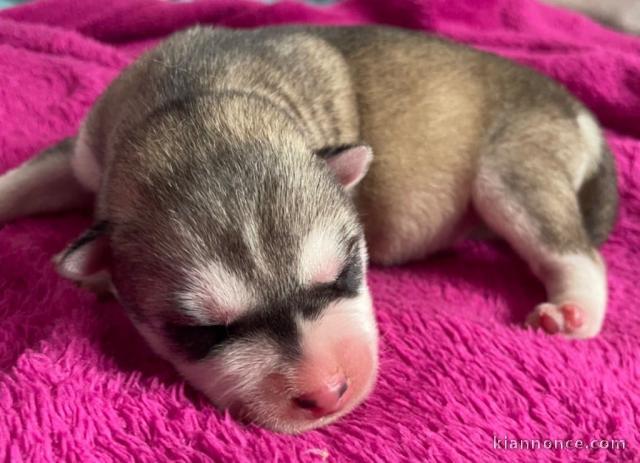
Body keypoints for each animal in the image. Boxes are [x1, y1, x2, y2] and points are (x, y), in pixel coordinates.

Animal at [1, 25, 620, 434]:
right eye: (204, 331)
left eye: (344, 274)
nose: (327, 393)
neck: (192, 102)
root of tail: (576, 107)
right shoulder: (86, 151)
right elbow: (35, 175)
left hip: (510, 165)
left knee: (574, 250)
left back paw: (573, 309)